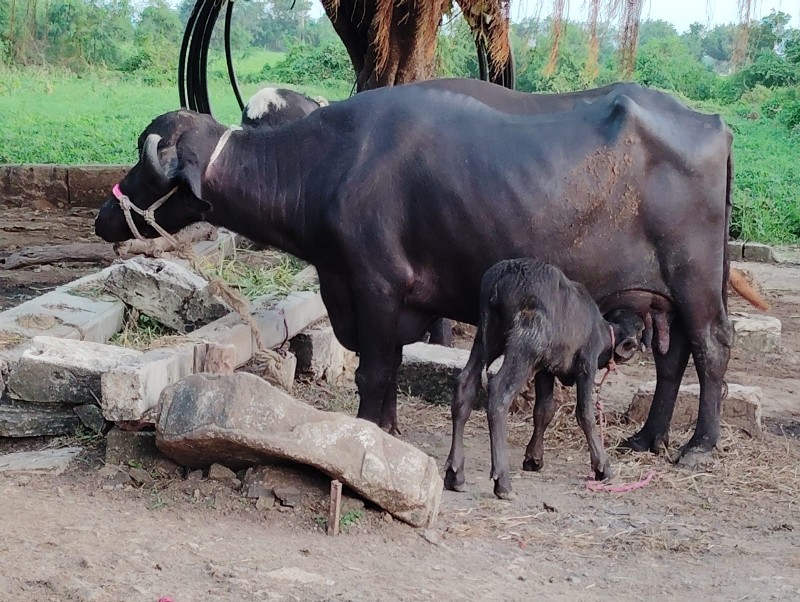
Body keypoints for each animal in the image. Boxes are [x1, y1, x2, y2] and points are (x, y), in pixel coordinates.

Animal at [97, 81, 752, 460]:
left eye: (144, 159)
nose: (105, 215)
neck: (329, 165)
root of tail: (712, 123)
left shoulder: (374, 286)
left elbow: (373, 374)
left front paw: (371, 429)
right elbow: (387, 370)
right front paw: (389, 428)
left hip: (695, 278)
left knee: (712, 346)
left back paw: (698, 445)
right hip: (661, 294)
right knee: (673, 354)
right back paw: (648, 437)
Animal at [444, 258, 644, 496]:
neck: (601, 329)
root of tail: (503, 274)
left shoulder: (545, 370)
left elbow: (544, 410)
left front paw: (533, 458)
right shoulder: (586, 364)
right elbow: (585, 413)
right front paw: (602, 466)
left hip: (486, 338)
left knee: (465, 384)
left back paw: (455, 474)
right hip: (525, 345)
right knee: (499, 391)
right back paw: (502, 481)